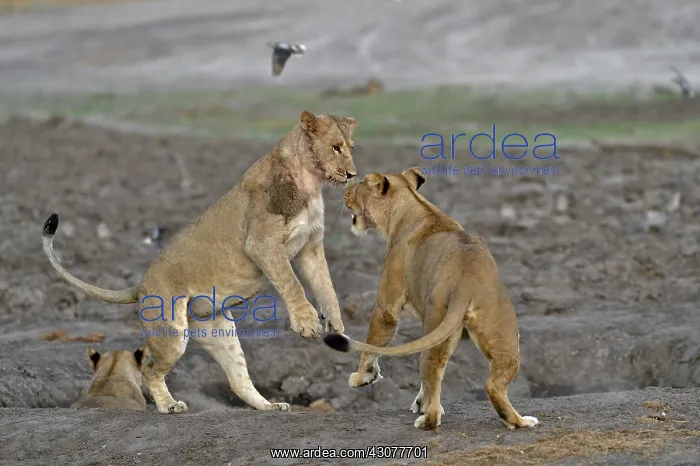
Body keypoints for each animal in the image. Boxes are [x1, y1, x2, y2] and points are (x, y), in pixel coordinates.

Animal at [42, 110, 358, 414]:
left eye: (351, 147)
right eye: (335, 147)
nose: (352, 174)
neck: (310, 183)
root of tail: (140, 285)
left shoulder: (311, 246)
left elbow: (325, 285)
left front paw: (336, 323)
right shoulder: (262, 244)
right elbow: (292, 283)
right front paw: (307, 324)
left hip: (218, 332)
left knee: (238, 380)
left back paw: (269, 406)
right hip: (172, 333)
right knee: (149, 370)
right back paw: (169, 406)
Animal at [323, 168, 539, 431]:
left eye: (359, 185)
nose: (346, 189)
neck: (415, 208)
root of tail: (466, 282)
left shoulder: (387, 305)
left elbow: (374, 341)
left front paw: (363, 377)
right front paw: (419, 401)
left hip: (436, 322)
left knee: (432, 370)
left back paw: (427, 420)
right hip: (504, 333)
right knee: (493, 383)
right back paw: (520, 421)